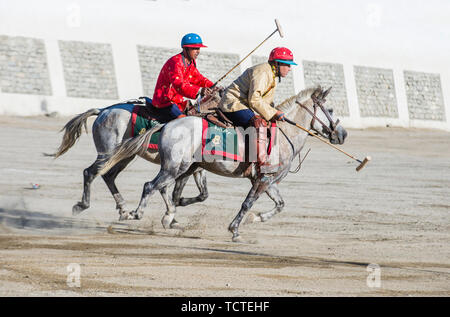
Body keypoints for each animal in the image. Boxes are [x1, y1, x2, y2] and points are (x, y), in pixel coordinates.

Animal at [50, 99, 209, 222]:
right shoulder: (183, 168)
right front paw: (172, 214)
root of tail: (103, 111)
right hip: (108, 154)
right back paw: (83, 205)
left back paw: (123, 209)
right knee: (90, 173)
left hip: (125, 157)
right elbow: (175, 193)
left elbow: (203, 194)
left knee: (108, 176)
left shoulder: (196, 168)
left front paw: (174, 213)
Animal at [102, 86, 348, 239]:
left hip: (181, 167)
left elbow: (280, 204)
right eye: (331, 109)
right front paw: (235, 229)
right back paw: (135, 213)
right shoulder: (263, 180)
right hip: (173, 166)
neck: (284, 134)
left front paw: (256, 218)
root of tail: (167, 124)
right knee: (149, 186)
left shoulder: (268, 180)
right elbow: (247, 203)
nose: (343, 134)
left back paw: (162, 215)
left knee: (161, 188)